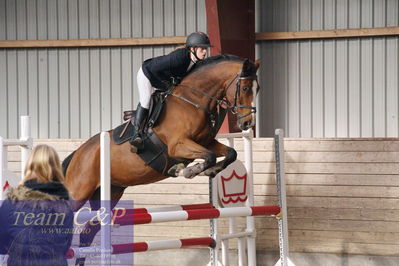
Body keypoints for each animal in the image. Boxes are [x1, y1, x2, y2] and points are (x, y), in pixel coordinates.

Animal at [63, 54, 260, 264]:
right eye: (245, 88)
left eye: (257, 89)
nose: (247, 124)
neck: (193, 101)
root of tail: (79, 152)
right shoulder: (178, 145)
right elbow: (209, 156)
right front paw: (187, 170)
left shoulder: (207, 142)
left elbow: (230, 153)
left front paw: (209, 170)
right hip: (79, 191)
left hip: (109, 193)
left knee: (88, 232)